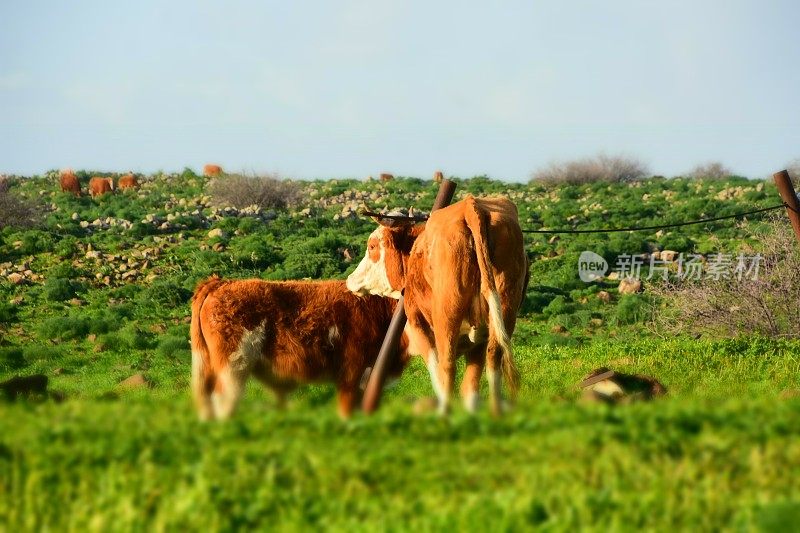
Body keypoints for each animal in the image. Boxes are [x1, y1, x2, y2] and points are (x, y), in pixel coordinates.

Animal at [346, 195, 528, 416]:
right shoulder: (479, 340)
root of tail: (470, 206)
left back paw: (444, 415)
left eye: (372, 246)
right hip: (505, 306)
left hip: (446, 316)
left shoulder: (417, 324)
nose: (350, 279)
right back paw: (496, 414)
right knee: (494, 358)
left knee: (447, 366)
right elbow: (471, 387)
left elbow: (436, 373)